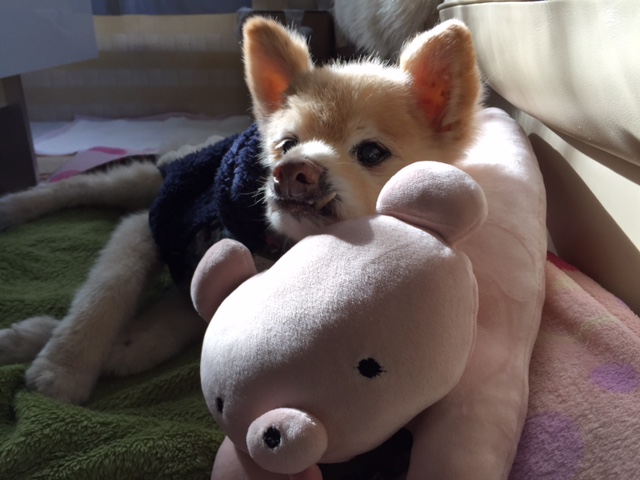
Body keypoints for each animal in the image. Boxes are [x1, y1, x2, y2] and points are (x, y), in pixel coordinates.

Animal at [0, 17, 481, 405]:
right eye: (285, 145)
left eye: (371, 152)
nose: (292, 172)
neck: (275, 244)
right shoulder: (150, 224)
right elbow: (104, 296)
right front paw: (61, 369)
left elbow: (176, 313)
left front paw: (125, 344)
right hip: (155, 177)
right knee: (81, 186)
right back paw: (15, 208)